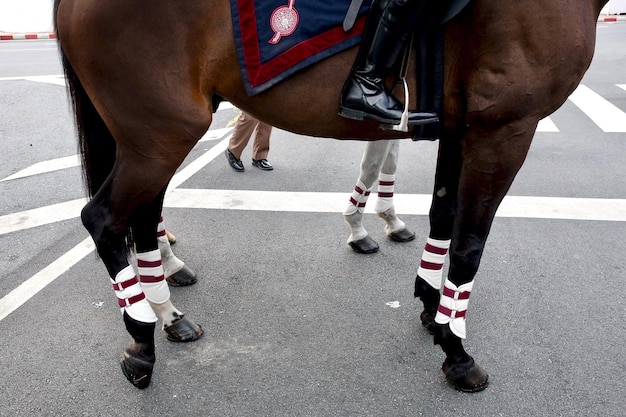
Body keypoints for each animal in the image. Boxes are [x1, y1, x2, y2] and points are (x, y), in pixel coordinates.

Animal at [52, 0, 604, 390]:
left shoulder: (462, 125)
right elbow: (470, 242)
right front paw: (457, 351)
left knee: (142, 220)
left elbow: (443, 214)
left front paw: (433, 305)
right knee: (104, 219)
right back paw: (141, 338)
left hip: (153, 140)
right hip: (159, 137)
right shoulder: (504, 130)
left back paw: (167, 313)